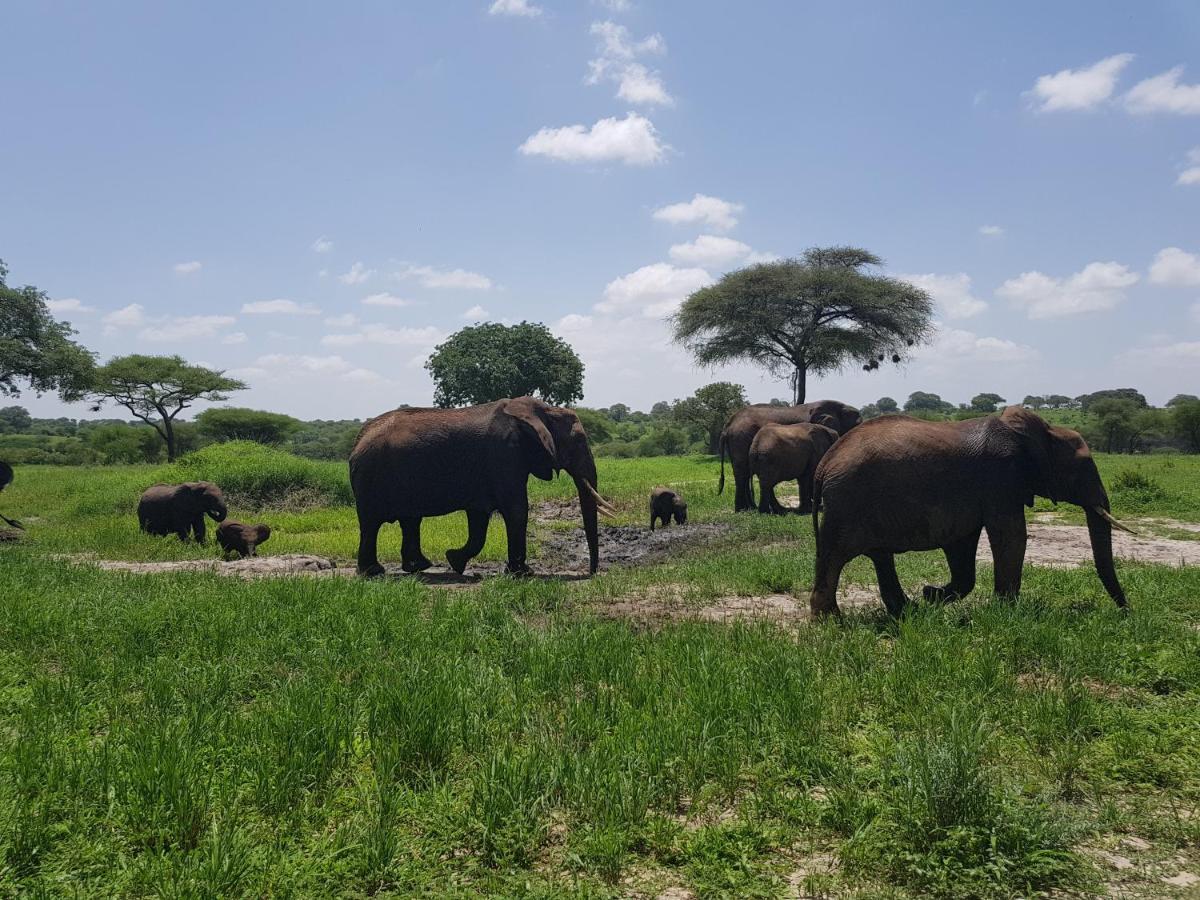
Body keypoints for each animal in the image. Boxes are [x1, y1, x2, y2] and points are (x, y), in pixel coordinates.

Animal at [345, 396, 609, 578]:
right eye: (578, 442)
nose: (591, 572)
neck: (542, 409)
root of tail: (358, 440)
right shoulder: (504, 453)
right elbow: (516, 509)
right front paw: (523, 573)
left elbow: (479, 517)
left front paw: (455, 561)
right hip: (371, 477)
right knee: (371, 523)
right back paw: (374, 572)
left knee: (409, 520)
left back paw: (418, 567)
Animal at [715, 400, 859, 513]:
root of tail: (727, 426)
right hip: (741, 439)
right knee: (744, 474)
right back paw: (747, 509)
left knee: (746, 475)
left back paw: (753, 508)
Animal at [806, 408, 1132, 619]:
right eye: (1082, 467)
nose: (1126, 611)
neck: (1042, 431)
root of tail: (824, 464)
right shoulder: (1002, 477)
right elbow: (1010, 536)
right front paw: (1006, 613)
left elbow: (962, 544)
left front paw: (931, 595)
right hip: (847, 502)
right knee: (836, 555)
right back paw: (831, 621)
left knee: (879, 556)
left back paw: (907, 611)